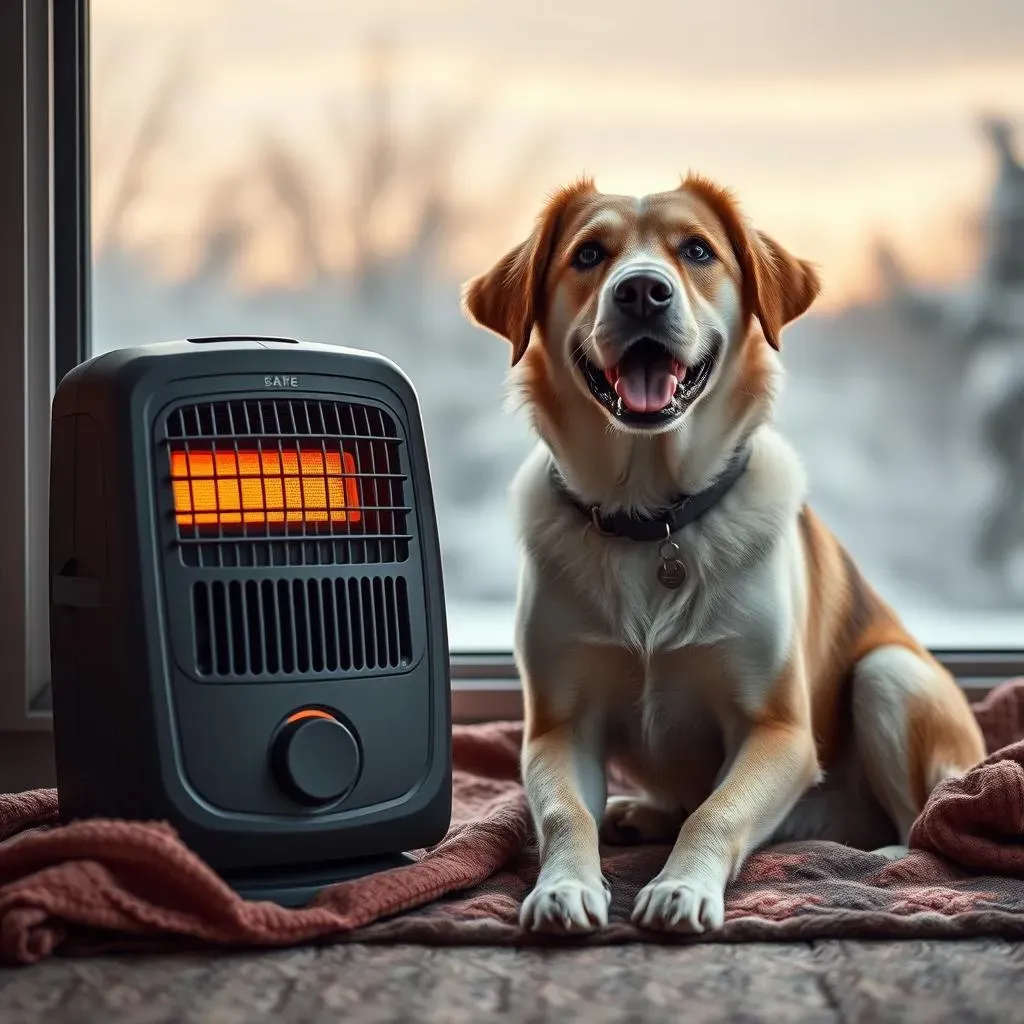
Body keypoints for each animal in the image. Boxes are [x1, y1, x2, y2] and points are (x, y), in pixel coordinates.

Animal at [460, 176, 987, 937]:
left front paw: (683, 885)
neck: (652, 520)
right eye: (588, 254)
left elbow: (716, 811)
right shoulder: (559, 726)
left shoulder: (779, 732)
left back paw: (886, 855)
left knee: (924, 818)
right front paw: (563, 885)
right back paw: (639, 813)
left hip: (889, 675)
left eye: (697, 251)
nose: (642, 291)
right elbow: (563, 814)